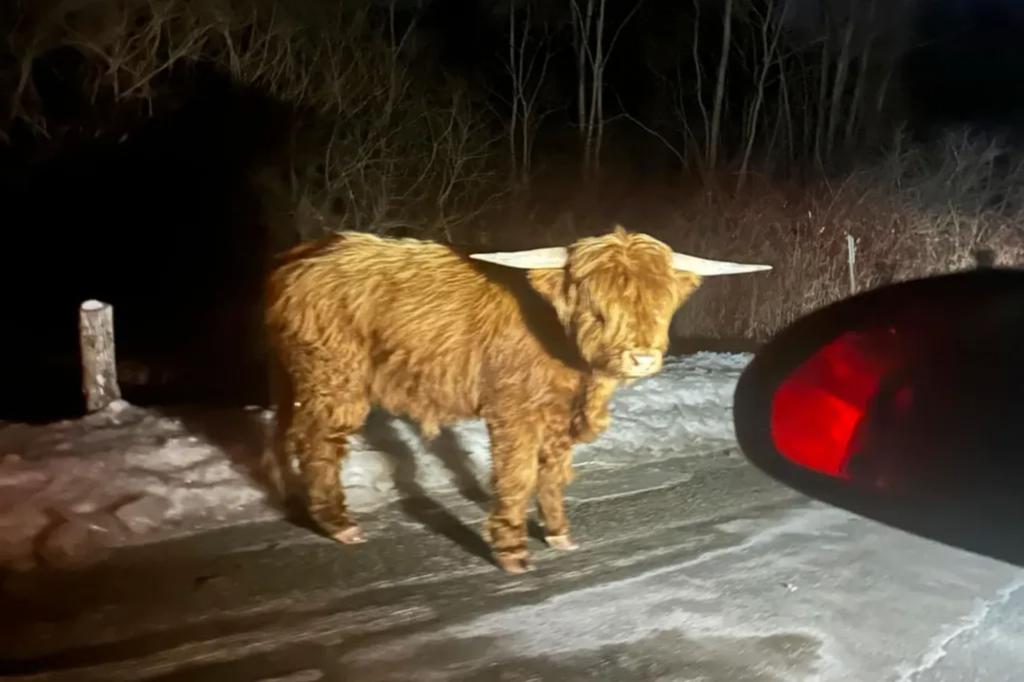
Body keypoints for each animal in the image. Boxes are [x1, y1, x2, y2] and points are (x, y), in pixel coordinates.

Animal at [264, 225, 770, 569]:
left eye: (661, 304)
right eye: (597, 307)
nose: (641, 357)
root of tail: (301, 255)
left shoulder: (558, 413)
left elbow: (554, 472)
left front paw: (558, 533)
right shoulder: (515, 409)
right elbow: (518, 474)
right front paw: (510, 549)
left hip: (299, 379)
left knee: (285, 434)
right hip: (335, 376)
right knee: (319, 444)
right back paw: (339, 524)